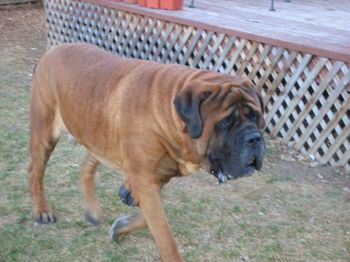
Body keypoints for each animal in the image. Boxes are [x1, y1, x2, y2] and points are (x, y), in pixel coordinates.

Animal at [28, 42, 266, 260]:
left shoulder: (155, 179)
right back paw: (42, 211)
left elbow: (148, 217)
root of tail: (52, 50)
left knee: (87, 165)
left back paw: (93, 211)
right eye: (225, 122)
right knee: (35, 171)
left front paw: (121, 226)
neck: (170, 115)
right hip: (45, 132)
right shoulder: (145, 180)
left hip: (98, 133)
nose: (255, 139)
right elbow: (164, 234)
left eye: (255, 116)